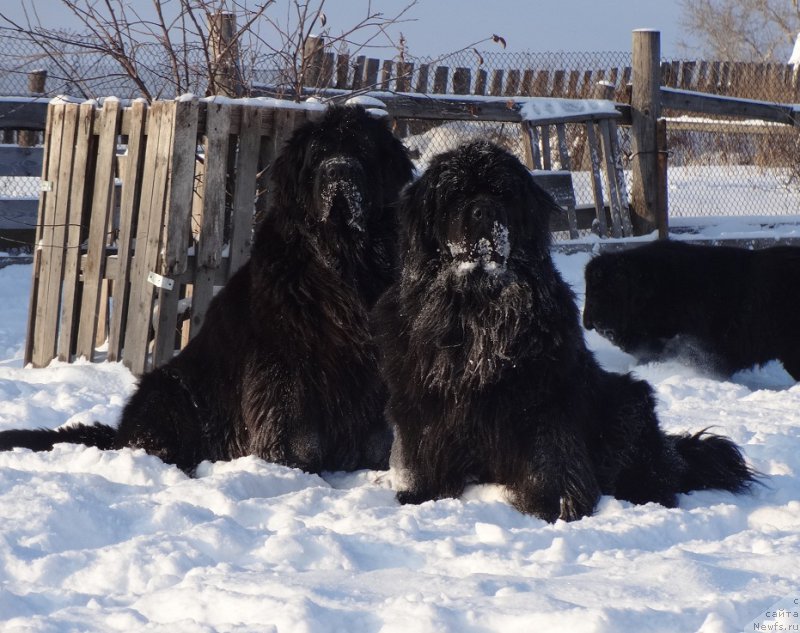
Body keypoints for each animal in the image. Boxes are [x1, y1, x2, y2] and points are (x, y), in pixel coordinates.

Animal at [0, 103, 412, 472]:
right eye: (318, 155)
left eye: (361, 149)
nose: (339, 171)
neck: (342, 261)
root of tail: (118, 433)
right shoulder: (285, 362)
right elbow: (295, 430)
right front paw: (295, 467)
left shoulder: (369, 364)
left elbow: (376, 430)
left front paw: (377, 465)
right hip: (171, 391)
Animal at [376, 143, 756, 524]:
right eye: (455, 194)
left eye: (504, 193)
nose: (484, 210)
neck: (480, 303)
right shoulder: (423, 395)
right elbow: (426, 444)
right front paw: (423, 494)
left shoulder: (544, 393)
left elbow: (550, 454)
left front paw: (557, 505)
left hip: (626, 401)